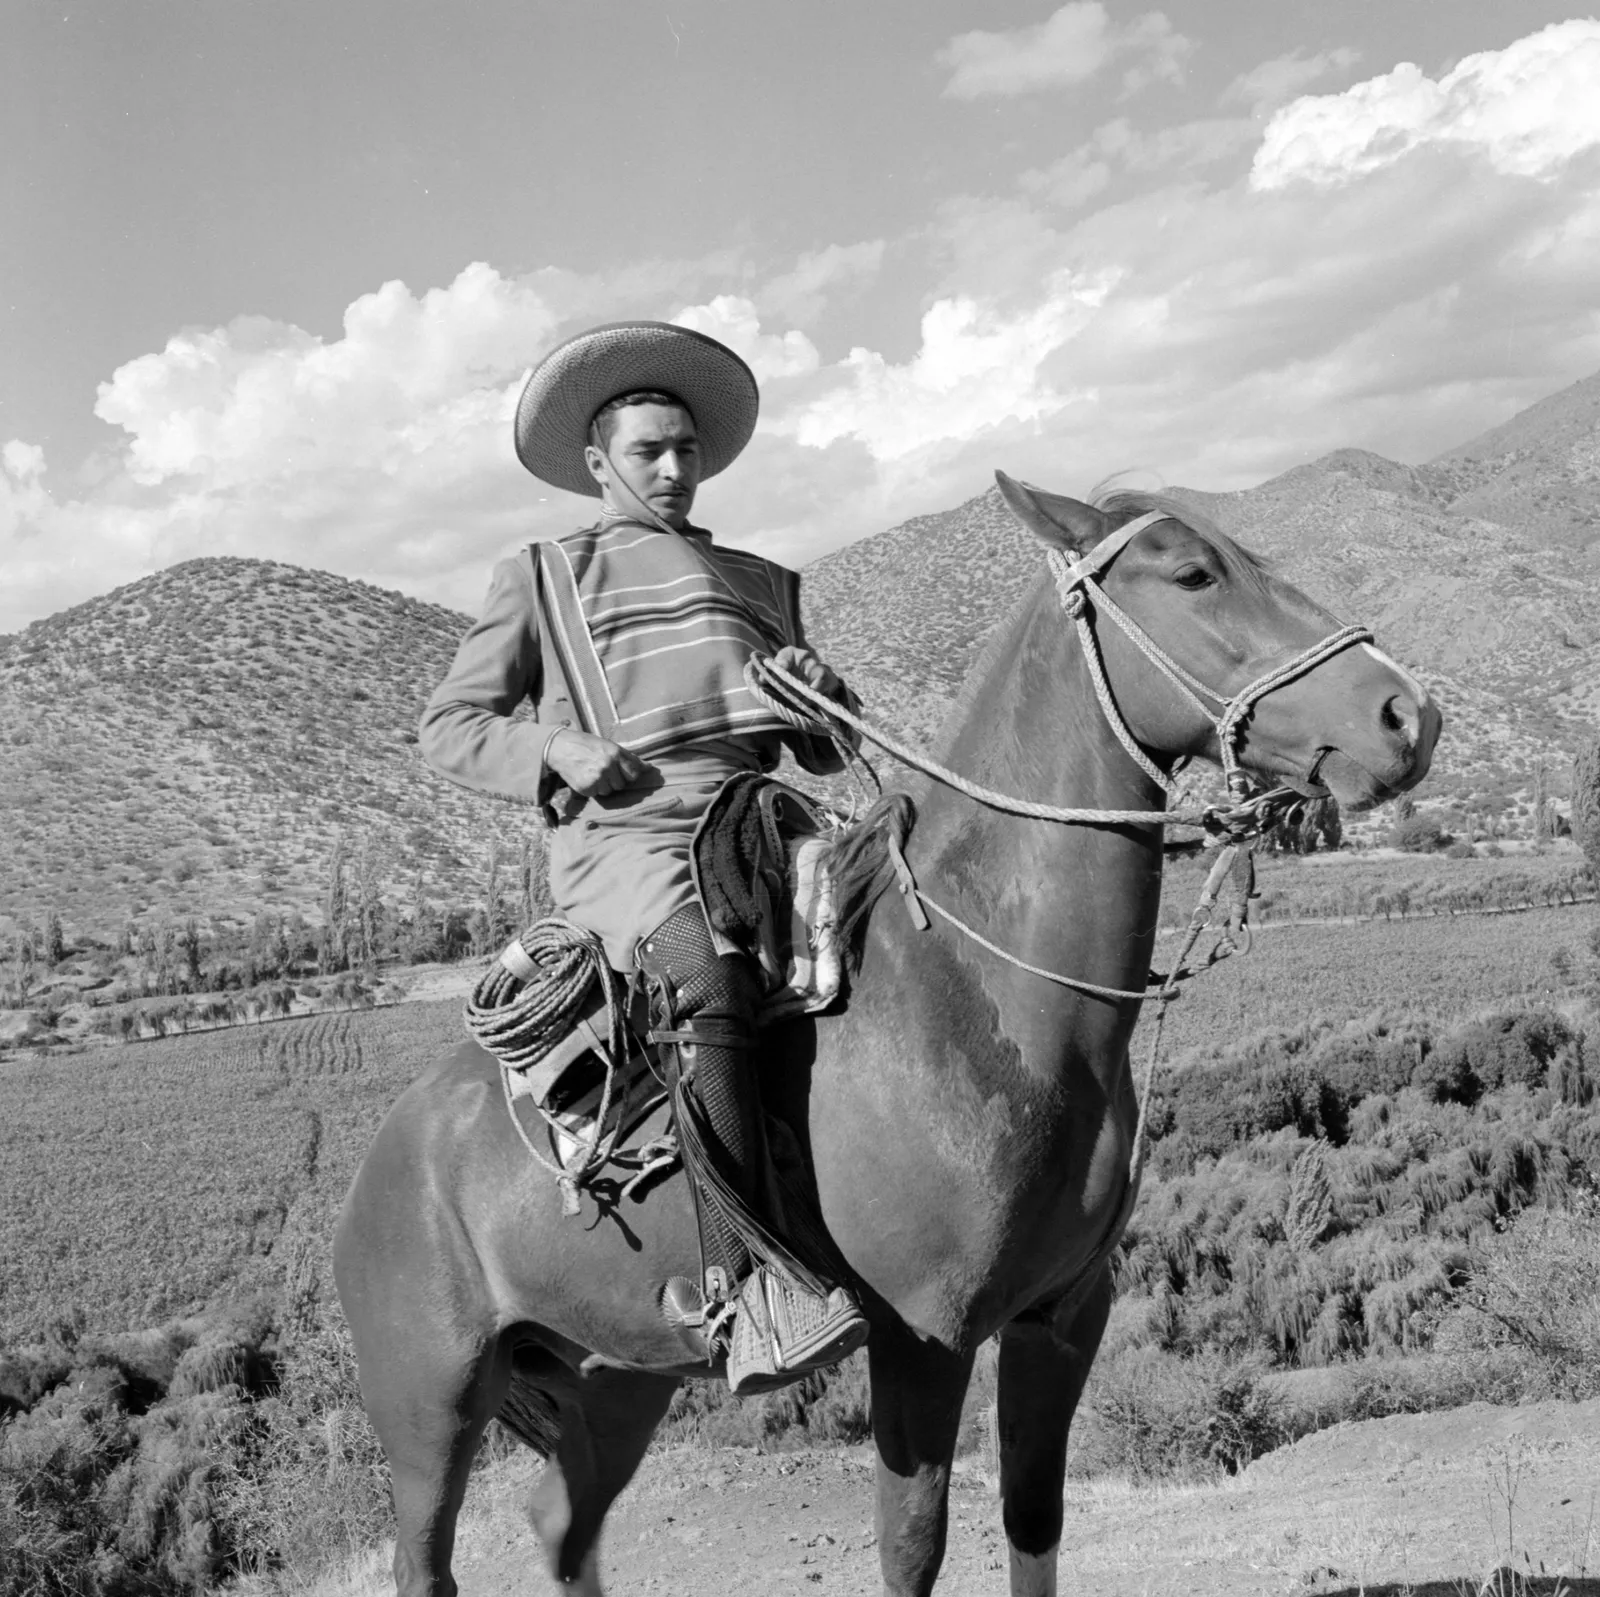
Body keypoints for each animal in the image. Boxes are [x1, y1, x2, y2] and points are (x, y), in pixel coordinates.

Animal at [334, 474, 1440, 1597]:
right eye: (1192, 573)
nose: (1407, 714)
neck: (981, 998)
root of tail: (381, 1163)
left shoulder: (1062, 1315)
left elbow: (1034, 1520)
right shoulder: (922, 1338)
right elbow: (911, 1548)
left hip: (612, 1379)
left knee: (565, 1527)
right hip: (432, 1409)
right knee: (429, 1562)